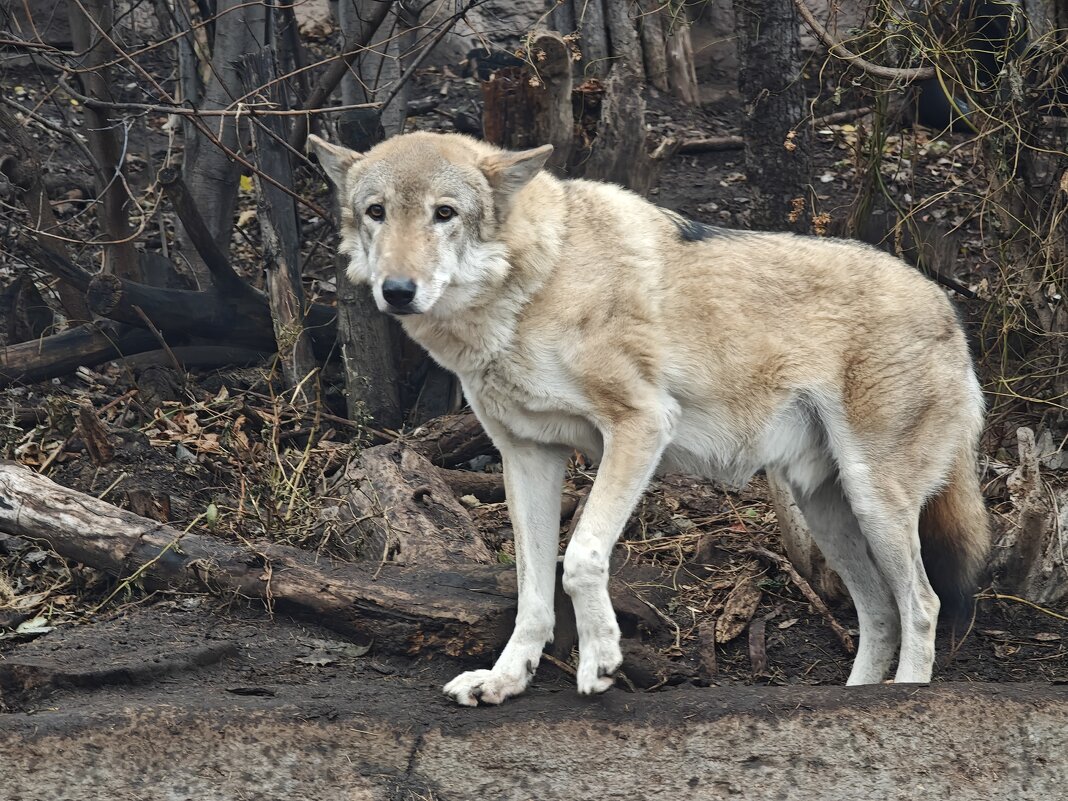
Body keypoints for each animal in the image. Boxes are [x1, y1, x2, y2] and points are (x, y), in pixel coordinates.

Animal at [305, 130, 986, 709]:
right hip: (824, 508)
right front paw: (505, 680)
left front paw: (601, 662)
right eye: (376, 211)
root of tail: (948, 305)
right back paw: (857, 697)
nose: (397, 290)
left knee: (921, 603)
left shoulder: (640, 427)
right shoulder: (525, 454)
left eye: (444, 213)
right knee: (880, 611)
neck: (535, 285)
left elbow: (579, 559)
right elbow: (531, 590)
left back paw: (904, 697)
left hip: (873, 500)